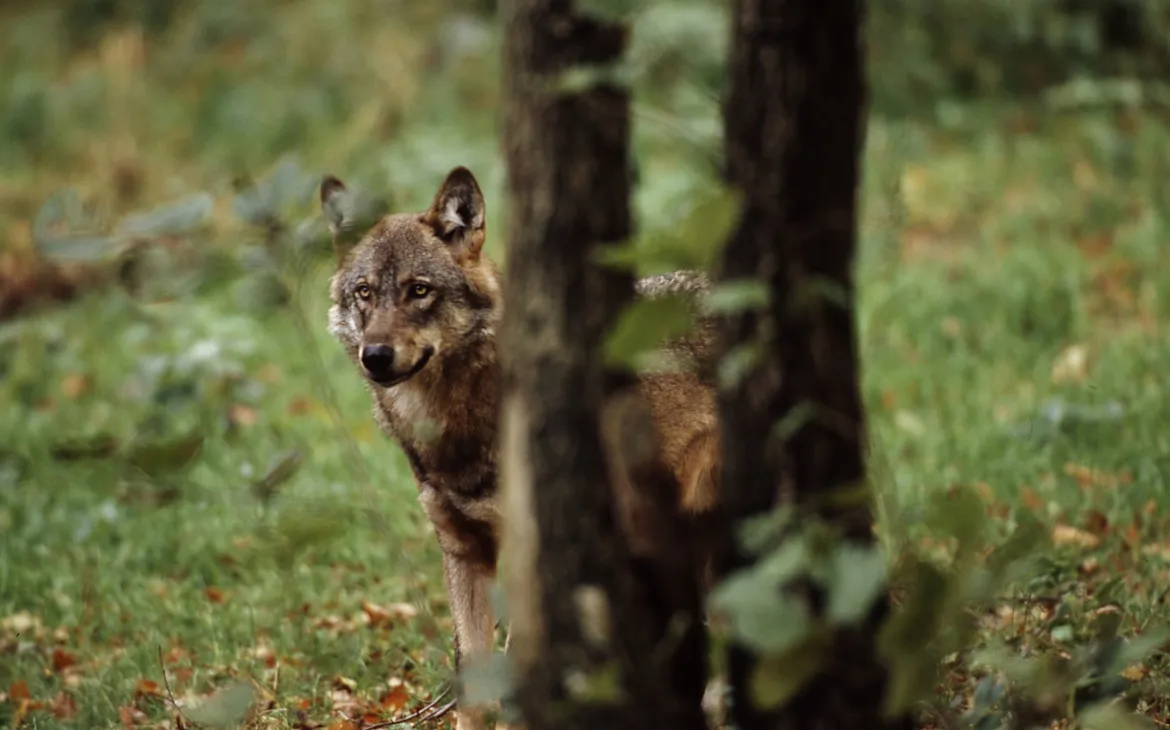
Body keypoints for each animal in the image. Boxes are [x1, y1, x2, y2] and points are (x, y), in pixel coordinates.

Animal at [320, 166, 722, 729]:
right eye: (364, 292)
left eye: (419, 290)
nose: (375, 355)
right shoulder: (462, 549)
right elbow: (475, 688)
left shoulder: (528, 557)